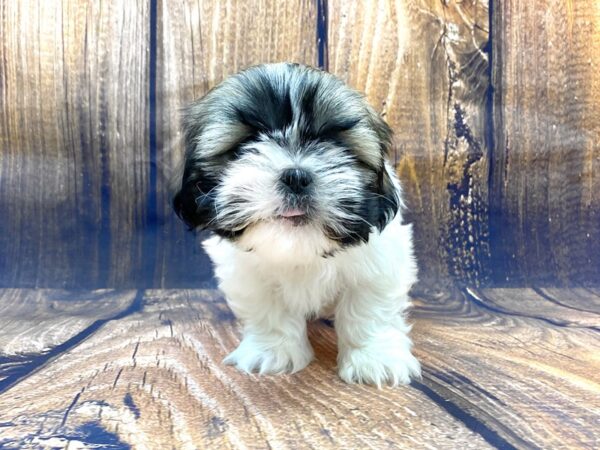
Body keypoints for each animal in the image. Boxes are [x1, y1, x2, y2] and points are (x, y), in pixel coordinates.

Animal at [171, 62, 420, 386]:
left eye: (333, 141)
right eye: (245, 144)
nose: (296, 176)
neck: (300, 247)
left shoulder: (380, 261)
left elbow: (368, 309)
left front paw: (374, 357)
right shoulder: (246, 273)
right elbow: (268, 310)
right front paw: (273, 351)